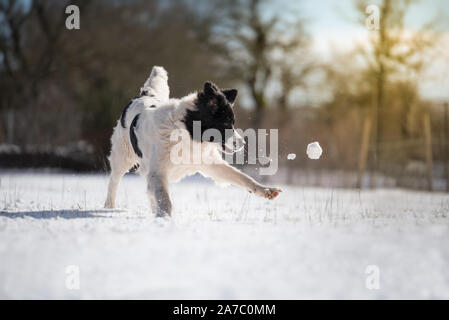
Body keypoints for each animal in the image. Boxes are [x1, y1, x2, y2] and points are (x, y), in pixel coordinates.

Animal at [104, 66, 280, 216]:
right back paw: (109, 207)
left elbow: (243, 177)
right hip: (122, 157)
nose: (243, 143)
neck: (187, 135)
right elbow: (165, 199)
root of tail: (144, 95)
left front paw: (266, 190)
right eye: (225, 123)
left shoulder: (212, 164)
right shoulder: (158, 172)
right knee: (114, 181)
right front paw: (165, 220)